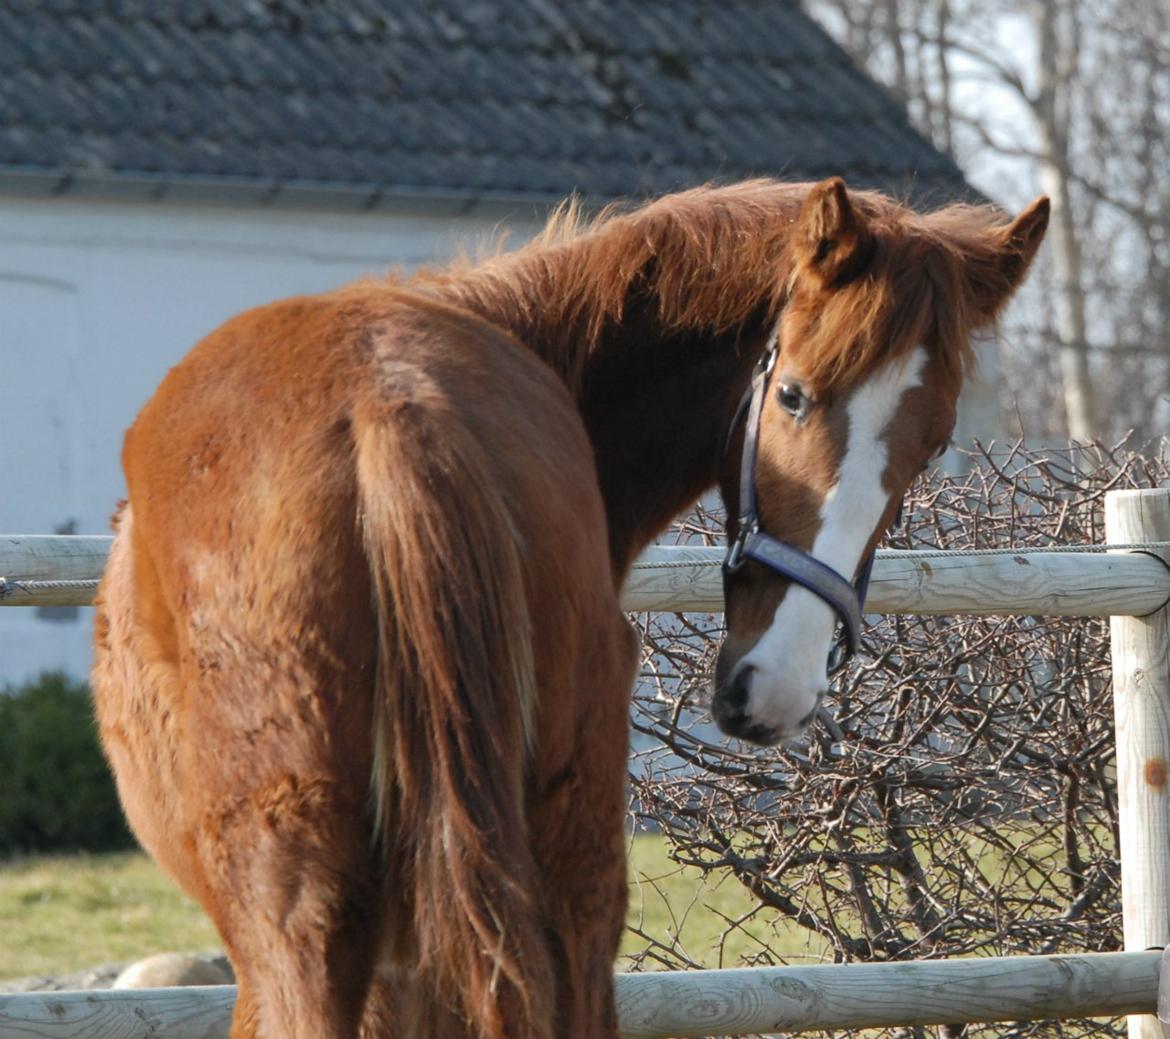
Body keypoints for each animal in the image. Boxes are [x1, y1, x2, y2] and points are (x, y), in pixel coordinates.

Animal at [88, 179, 1043, 1039]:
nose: (780, 684)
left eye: (933, 446)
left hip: (306, 925)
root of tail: (390, 409)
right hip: (570, 878)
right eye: (794, 395)